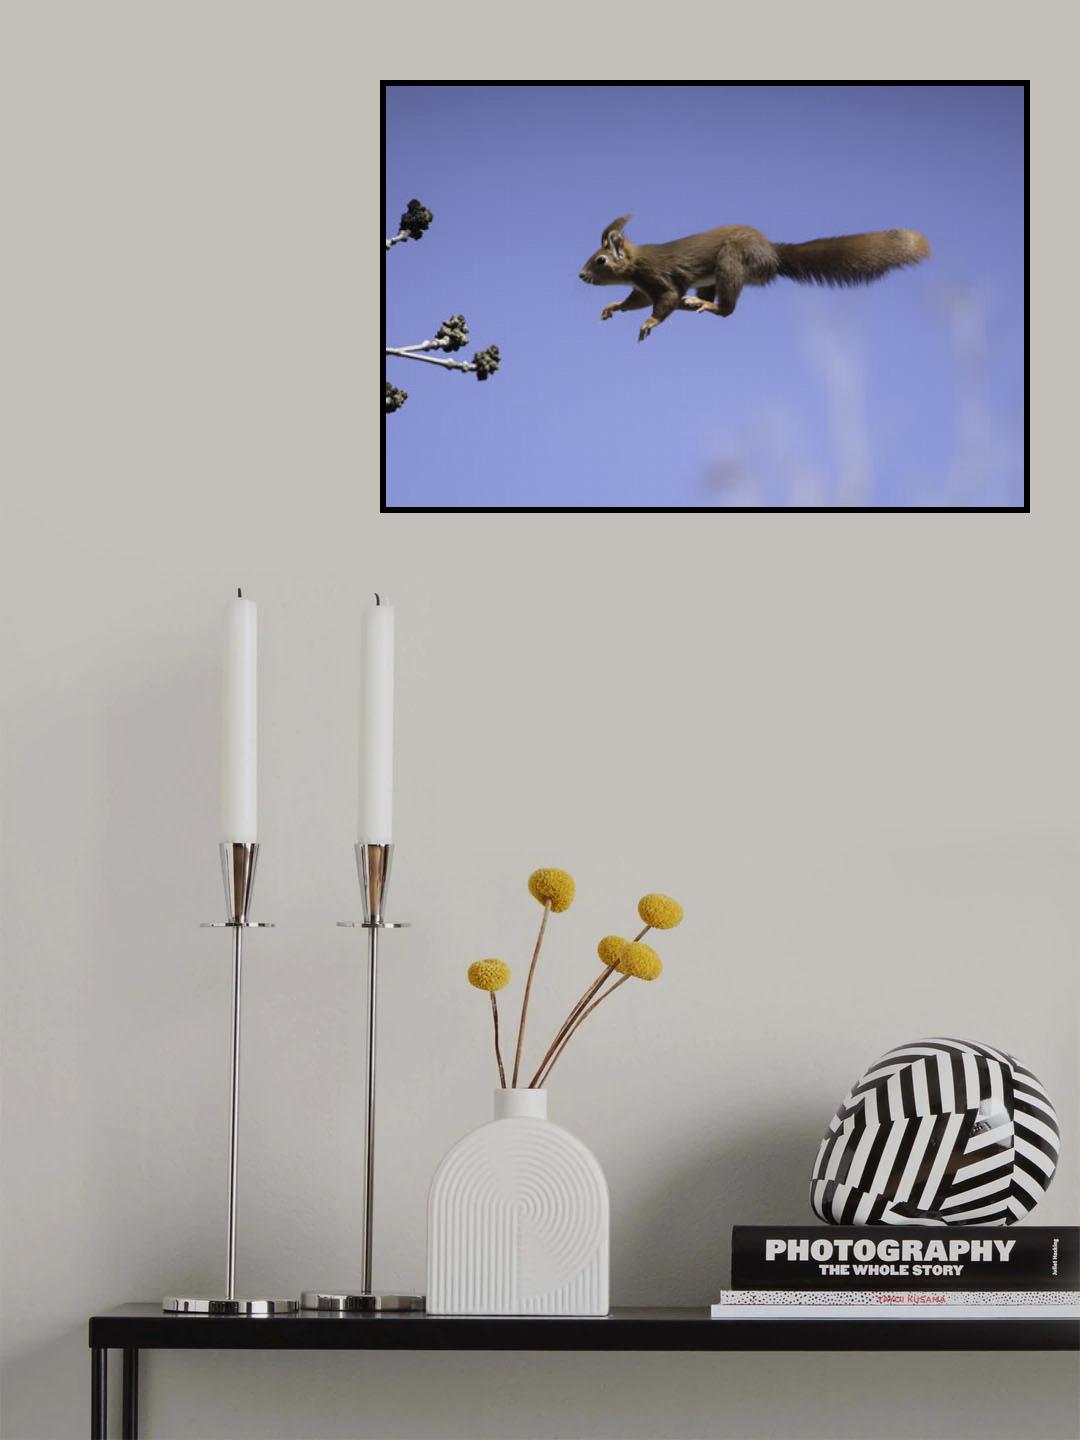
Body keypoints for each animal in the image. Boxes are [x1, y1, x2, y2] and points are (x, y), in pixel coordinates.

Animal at [579, 216, 931, 342]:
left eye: (600, 260)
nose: (581, 275)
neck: (636, 266)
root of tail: (772, 253)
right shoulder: (642, 289)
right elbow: (635, 301)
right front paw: (612, 306)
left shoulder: (658, 277)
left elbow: (664, 300)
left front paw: (649, 324)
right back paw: (694, 303)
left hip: (732, 261)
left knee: (727, 309)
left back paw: (707, 305)